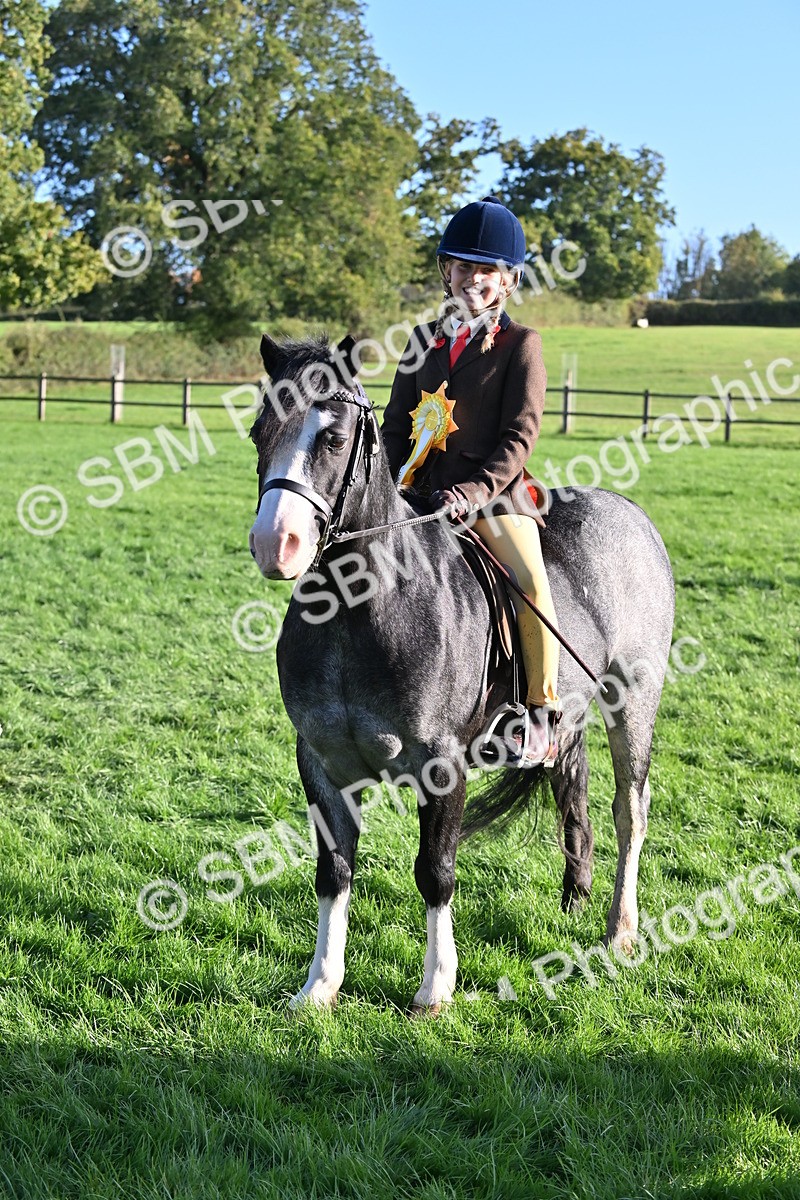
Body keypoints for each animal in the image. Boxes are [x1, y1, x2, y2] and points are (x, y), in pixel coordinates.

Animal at [248, 332, 675, 1013]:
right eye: (259, 432)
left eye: (334, 438)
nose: (275, 544)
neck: (361, 611)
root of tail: (633, 515)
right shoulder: (320, 761)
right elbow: (333, 870)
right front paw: (319, 986)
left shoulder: (440, 763)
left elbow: (435, 871)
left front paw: (436, 987)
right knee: (574, 794)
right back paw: (575, 899)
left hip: (633, 702)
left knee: (629, 811)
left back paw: (621, 933)